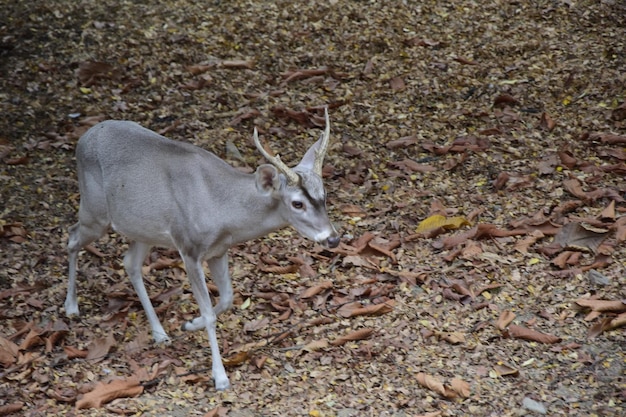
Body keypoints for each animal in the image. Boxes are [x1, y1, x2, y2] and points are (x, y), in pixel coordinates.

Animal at [64, 108, 338, 390]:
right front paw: (220, 377)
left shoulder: (219, 250)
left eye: (324, 194)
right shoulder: (189, 248)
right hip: (95, 212)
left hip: (142, 228)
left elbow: (226, 299)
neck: (221, 208)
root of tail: (85, 136)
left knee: (130, 262)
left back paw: (159, 333)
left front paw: (189, 324)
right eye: (297, 203)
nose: (332, 239)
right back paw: (71, 307)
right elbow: (209, 314)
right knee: (72, 237)